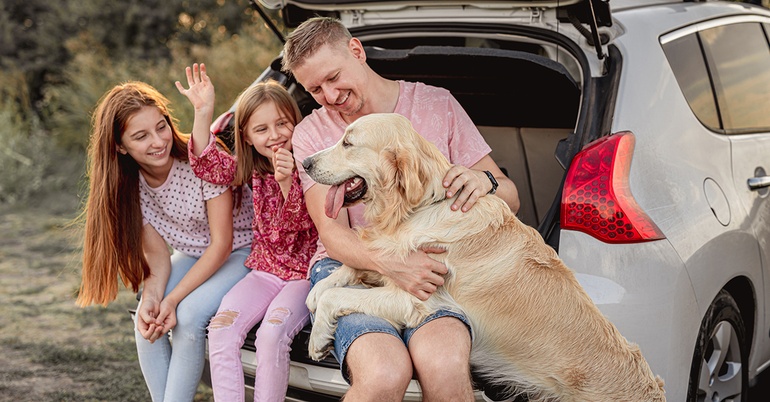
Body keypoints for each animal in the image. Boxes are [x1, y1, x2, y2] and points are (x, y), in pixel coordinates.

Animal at [304, 113, 664, 402]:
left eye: (348, 143)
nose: (305, 163)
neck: (421, 206)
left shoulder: (415, 298)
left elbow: (339, 295)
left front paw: (319, 335)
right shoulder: (390, 261)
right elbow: (353, 267)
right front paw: (315, 291)